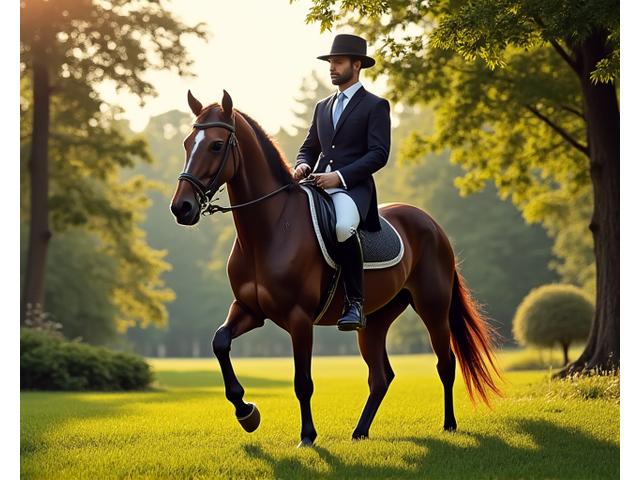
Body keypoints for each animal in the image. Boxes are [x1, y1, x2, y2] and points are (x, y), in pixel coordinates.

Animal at [170, 90, 502, 447]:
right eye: (187, 143)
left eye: (216, 145)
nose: (181, 207)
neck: (270, 229)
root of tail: (432, 224)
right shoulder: (249, 309)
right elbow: (220, 343)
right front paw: (247, 413)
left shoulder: (299, 318)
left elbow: (303, 381)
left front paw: (307, 436)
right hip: (374, 320)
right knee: (381, 376)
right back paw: (360, 432)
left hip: (433, 307)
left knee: (445, 363)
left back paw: (449, 425)